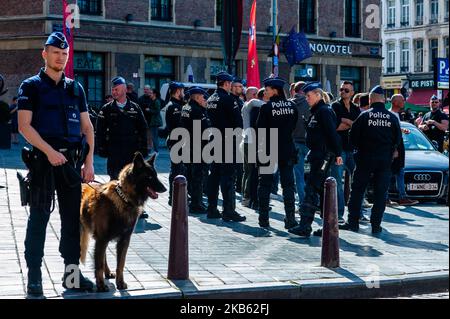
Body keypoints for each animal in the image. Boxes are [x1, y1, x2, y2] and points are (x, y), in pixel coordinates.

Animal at [80, 152, 166, 292]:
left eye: (156, 175)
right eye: (149, 176)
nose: (165, 189)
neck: (124, 199)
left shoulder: (124, 240)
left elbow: (120, 264)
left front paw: (120, 283)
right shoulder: (102, 238)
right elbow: (98, 265)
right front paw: (101, 285)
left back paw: (108, 272)